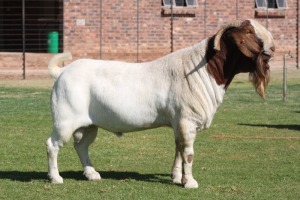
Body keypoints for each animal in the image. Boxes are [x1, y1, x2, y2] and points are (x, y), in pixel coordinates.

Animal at [46, 18, 274, 188]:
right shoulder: (187, 119)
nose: (271, 50)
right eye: (249, 33)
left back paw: (92, 174)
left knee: (81, 145)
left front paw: (176, 176)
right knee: (52, 145)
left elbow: (179, 148)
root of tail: (62, 72)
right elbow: (188, 153)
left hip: (89, 124)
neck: (205, 70)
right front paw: (190, 182)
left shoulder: (178, 121)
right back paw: (56, 178)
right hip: (65, 119)